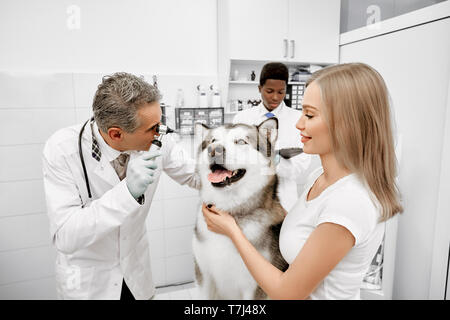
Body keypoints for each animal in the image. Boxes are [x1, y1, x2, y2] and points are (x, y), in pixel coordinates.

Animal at [192, 118, 286, 300]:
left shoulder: (256, 286)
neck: (230, 209)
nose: (214, 150)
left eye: (241, 141)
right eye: (212, 141)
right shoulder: (203, 276)